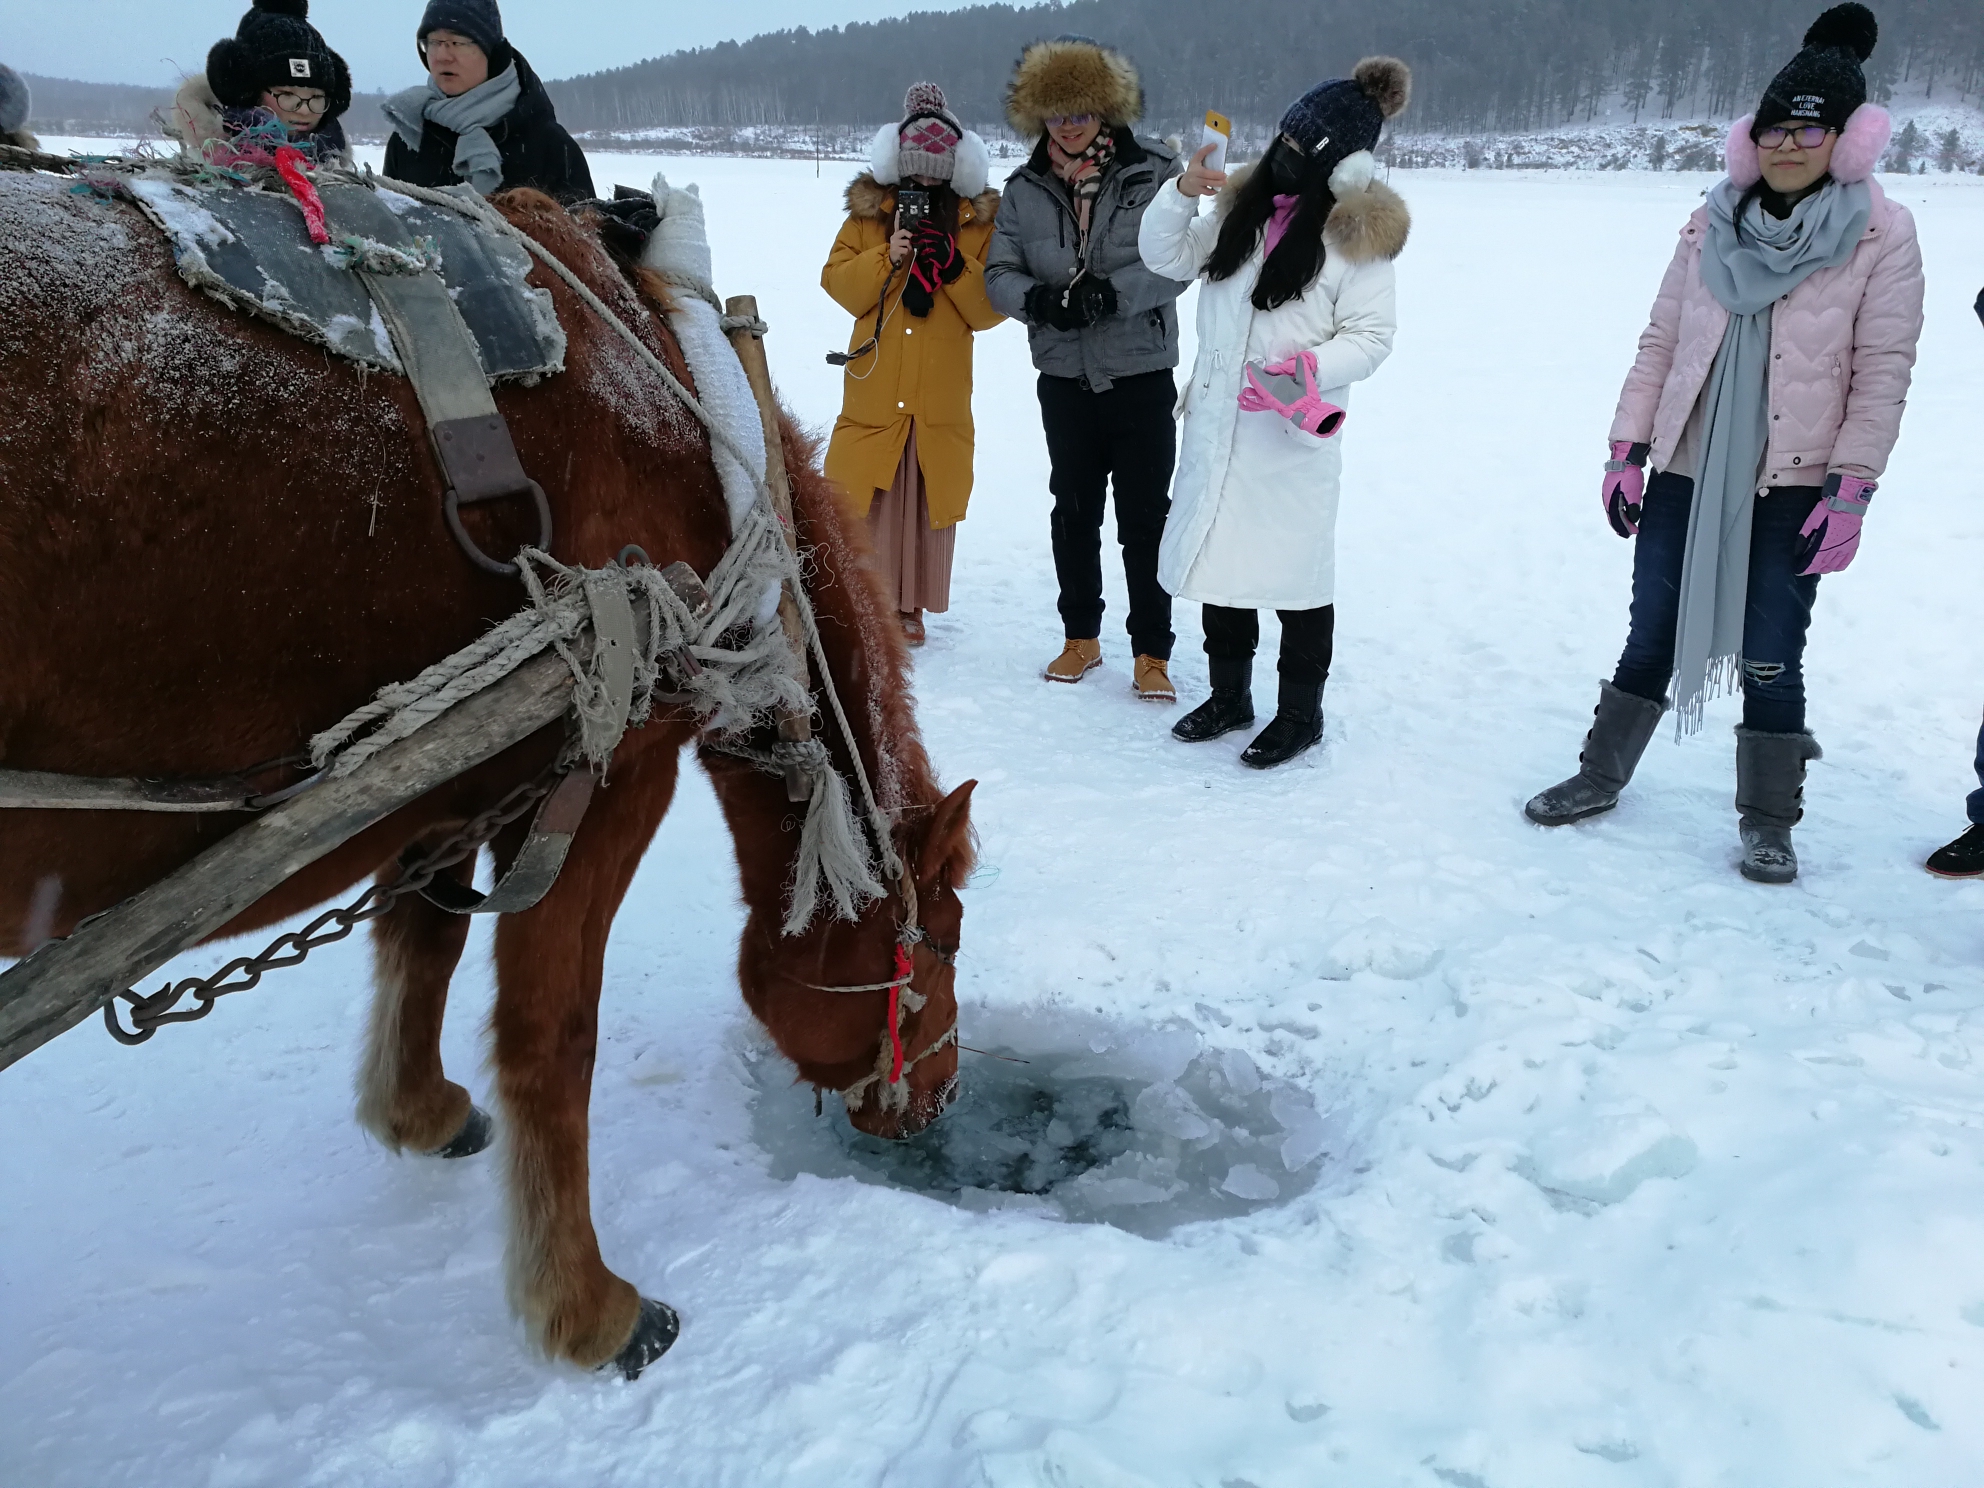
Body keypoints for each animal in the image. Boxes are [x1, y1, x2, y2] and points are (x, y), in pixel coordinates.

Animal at [0, 171, 976, 1372]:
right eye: (941, 949)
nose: (939, 1096)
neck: (693, 410)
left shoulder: (439, 799)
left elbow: (424, 940)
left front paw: (414, 1109)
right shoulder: (610, 772)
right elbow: (552, 1035)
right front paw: (590, 1306)